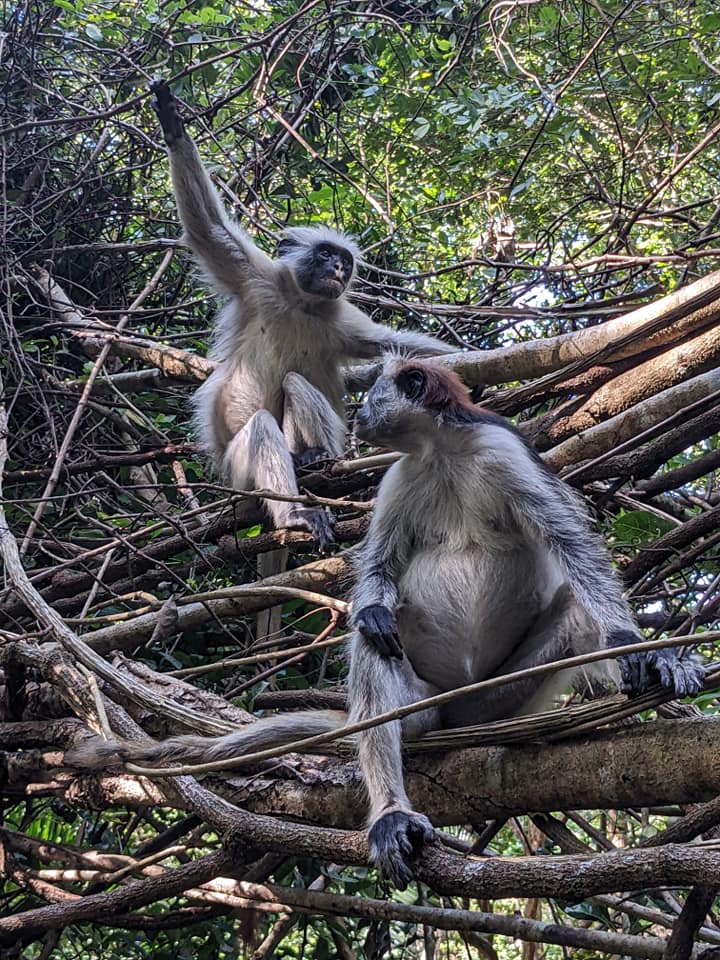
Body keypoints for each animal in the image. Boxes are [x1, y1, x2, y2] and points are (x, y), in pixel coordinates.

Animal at [66, 362, 696, 892]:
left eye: (374, 393)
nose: (360, 411)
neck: (442, 451)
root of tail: (453, 707)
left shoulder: (502, 451)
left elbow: (572, 547)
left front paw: (642, 649)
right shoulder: (403, 474)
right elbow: (378, 570)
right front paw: (370, 606)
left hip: (503, 695)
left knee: (572, 609)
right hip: (422, 700)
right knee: (376, 643)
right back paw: (391, 811)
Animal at [150, 84, 456, 548]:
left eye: (344, 261)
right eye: (326, 254)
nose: (339, 268)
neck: (302, 303)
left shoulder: (339, 318)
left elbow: (398, 346)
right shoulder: (256, 279)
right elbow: (208, 230)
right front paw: (172, 124)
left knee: (295, 384)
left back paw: (314, 458)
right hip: (239, 475)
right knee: (262, 425)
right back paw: (295, 512)